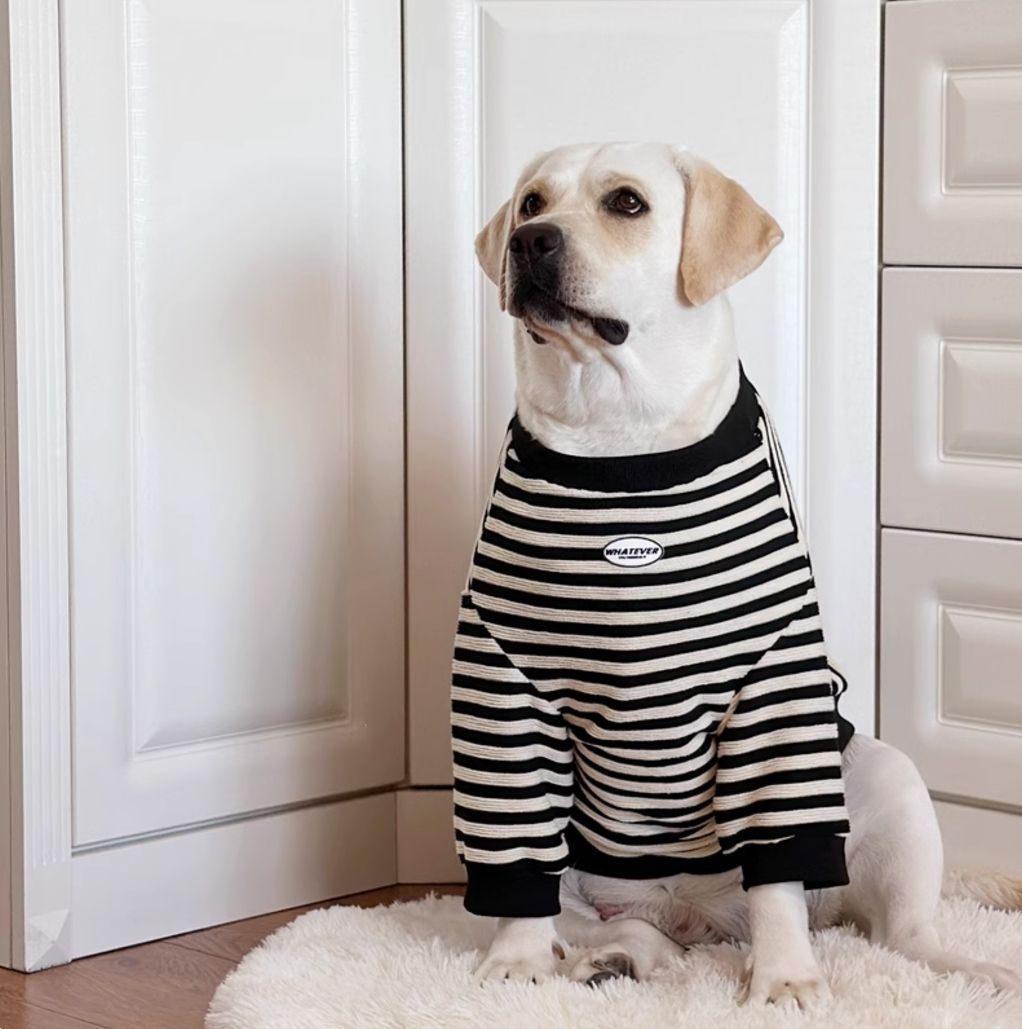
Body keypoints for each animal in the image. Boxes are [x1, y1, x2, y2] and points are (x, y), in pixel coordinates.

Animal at [452, 141, 1022, 1008]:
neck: (621, 436)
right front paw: (516, 963)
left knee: (897, 931)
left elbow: (777, 881)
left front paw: (785, 979)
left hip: (883, 778)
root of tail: (697, 913)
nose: (530, 242)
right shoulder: (503, 679)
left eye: (626, 203)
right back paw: (612, 958)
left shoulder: (772, 679)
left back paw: (967, 965)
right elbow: (521, 874)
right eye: (531, 203)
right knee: (618, 926)